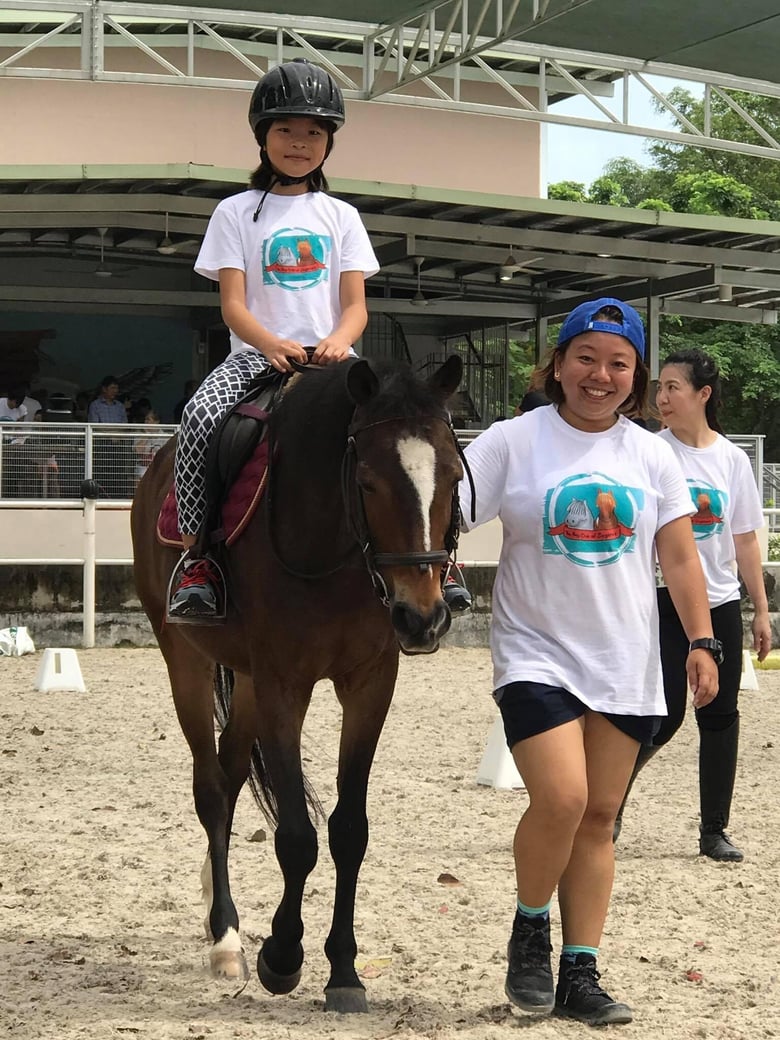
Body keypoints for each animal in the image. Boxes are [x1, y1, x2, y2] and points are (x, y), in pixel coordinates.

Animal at [130, 353, 463, 1010]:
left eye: (454, 476)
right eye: (368, 482)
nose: (421, 617)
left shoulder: (369, 684)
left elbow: (349, 831)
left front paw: (345, 972)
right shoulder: (285, 685)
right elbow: (297, 837)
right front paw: (282, 958)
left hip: (247, 680)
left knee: (231, 776)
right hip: (186, 658)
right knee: (211, 789)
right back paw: (226, 938)